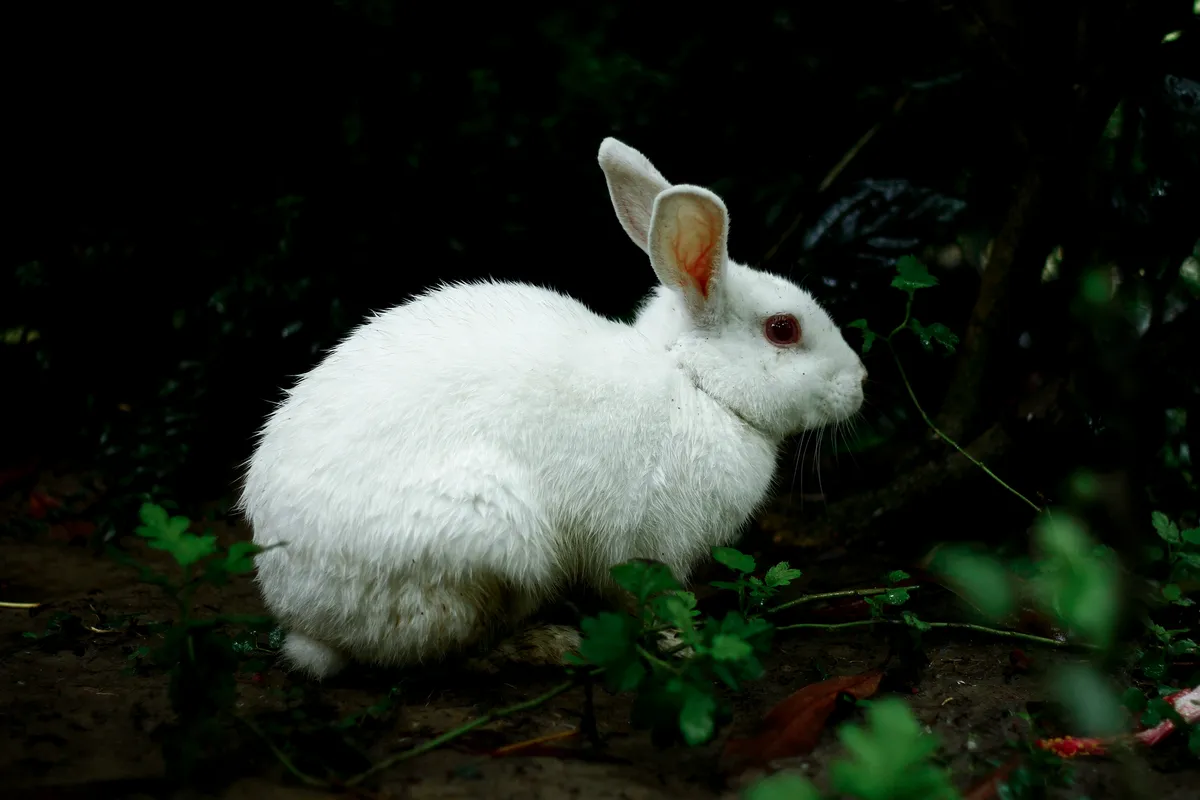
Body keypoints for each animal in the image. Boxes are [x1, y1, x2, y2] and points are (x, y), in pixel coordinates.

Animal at [238, 137, 868, 680]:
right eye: (783, 330)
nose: (861, 382)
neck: (695, 383)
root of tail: (305, 615)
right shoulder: (647, 547)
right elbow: (649, 600)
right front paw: (683, 645)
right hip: (489, 547)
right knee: (453, 654)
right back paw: (552, 646)